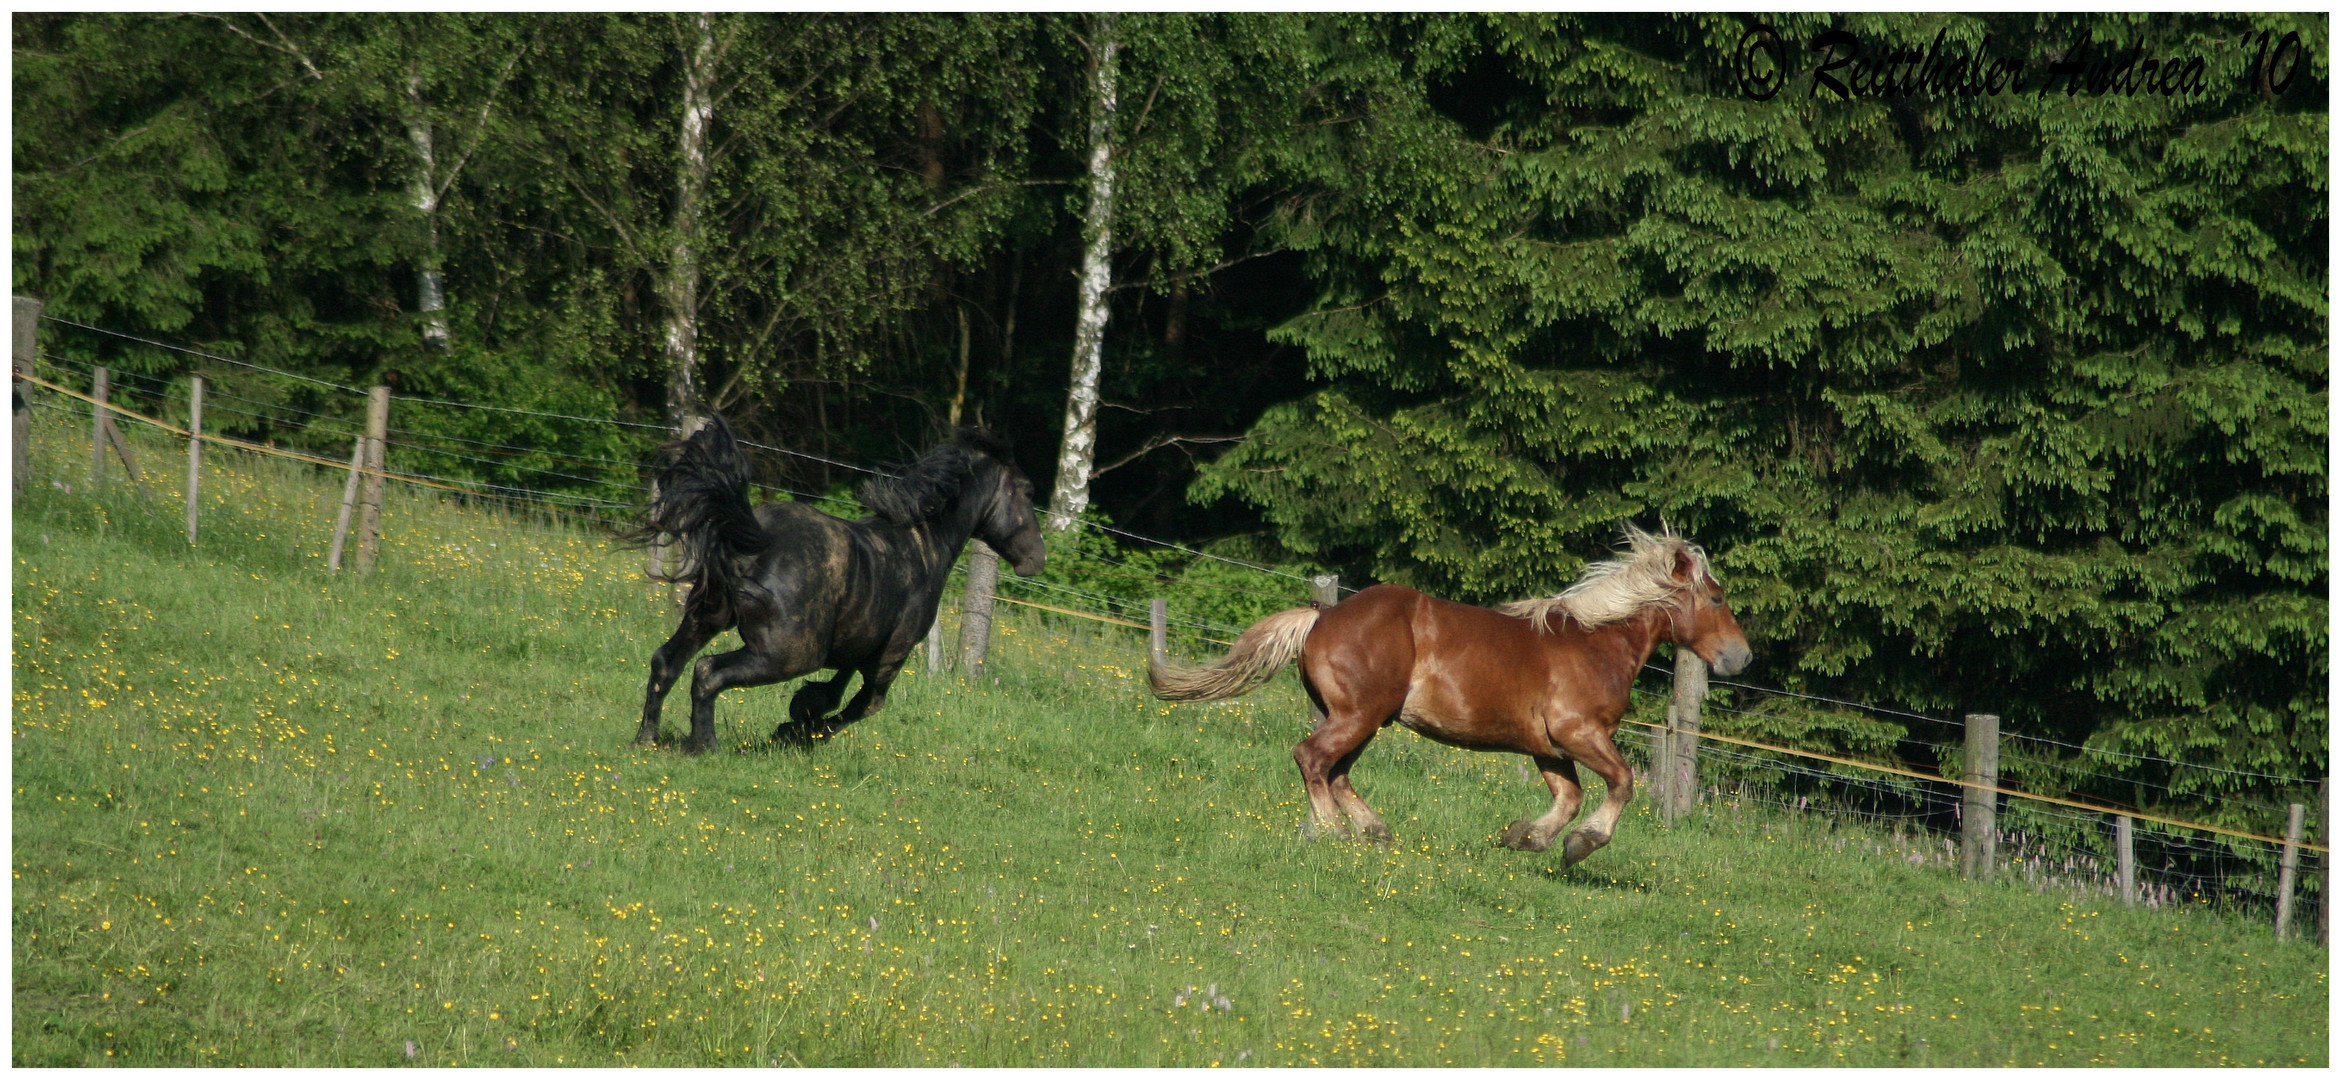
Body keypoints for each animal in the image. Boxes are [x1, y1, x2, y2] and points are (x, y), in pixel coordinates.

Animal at [622, 417, 1044, 754]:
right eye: (1026, 490)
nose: (1037, 559)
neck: (922, 545)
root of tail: (756, 540)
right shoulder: (890, 656)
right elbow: (863, 706)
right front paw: (795, 731)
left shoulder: (853, 646)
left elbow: (834, 691)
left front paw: (802, 713)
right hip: (786, 654)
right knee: (708, 671)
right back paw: (704, 746)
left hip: (706, 617)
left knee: (666, 662)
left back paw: (647, 740)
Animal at [1142, 524, 1751, 866]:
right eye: (1717, 598)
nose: (1741, 657)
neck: (1595, 642)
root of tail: (1320, 617)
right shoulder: (1579, 733)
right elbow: (1620, 783)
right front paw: (1580, 845)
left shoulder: (1549, 748)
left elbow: (1569, 797)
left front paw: (1525, 838)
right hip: (1358, 715)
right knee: (1311, 759)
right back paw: (1332, 832)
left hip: (1361, 718)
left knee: (1335, 771)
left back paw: (1373, 832)